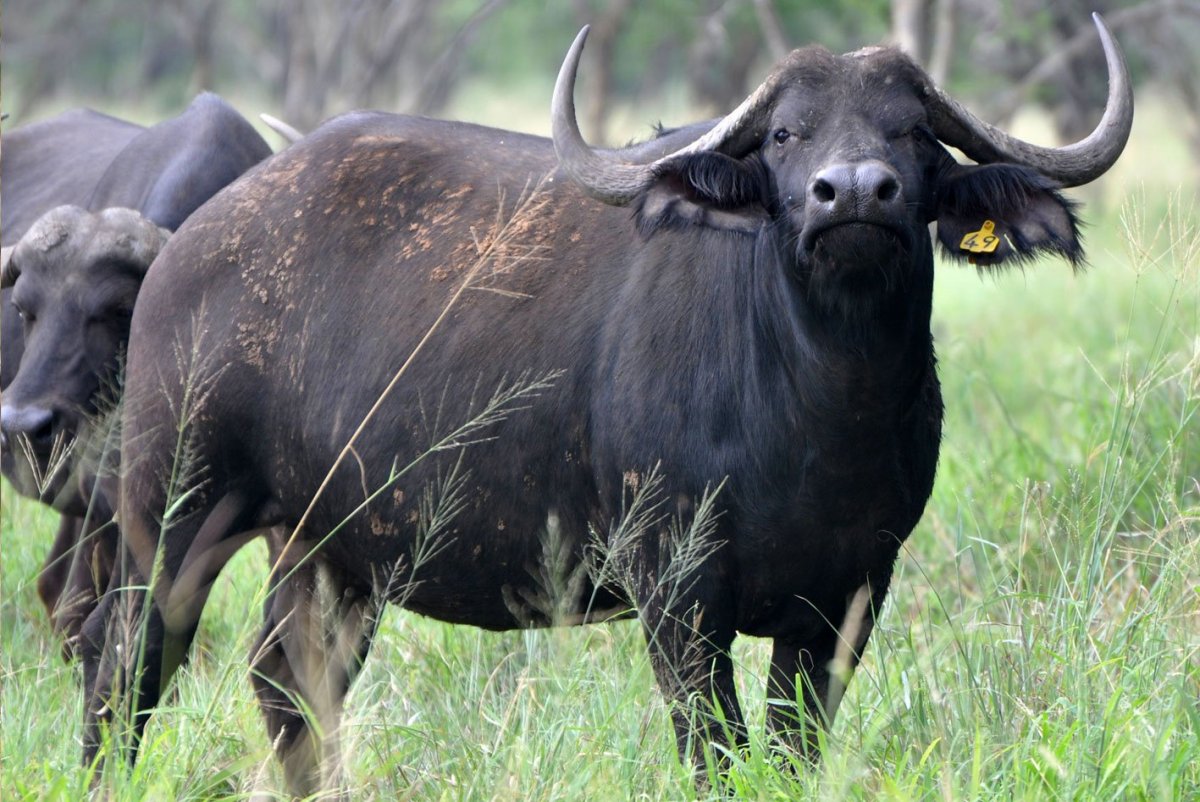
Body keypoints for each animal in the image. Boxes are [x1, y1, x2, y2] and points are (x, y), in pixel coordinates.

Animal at [83, 15, 1131, 794]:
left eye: (913, 131)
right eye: (785, 134)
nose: (855, 194)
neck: (821, 418)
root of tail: (192, 240)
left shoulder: (845, 603)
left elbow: (790, 753)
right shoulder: (677, 594)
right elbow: (716, 754)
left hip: (329, 550)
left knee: (289, 684)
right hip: (172, 512)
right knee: (125, 665)